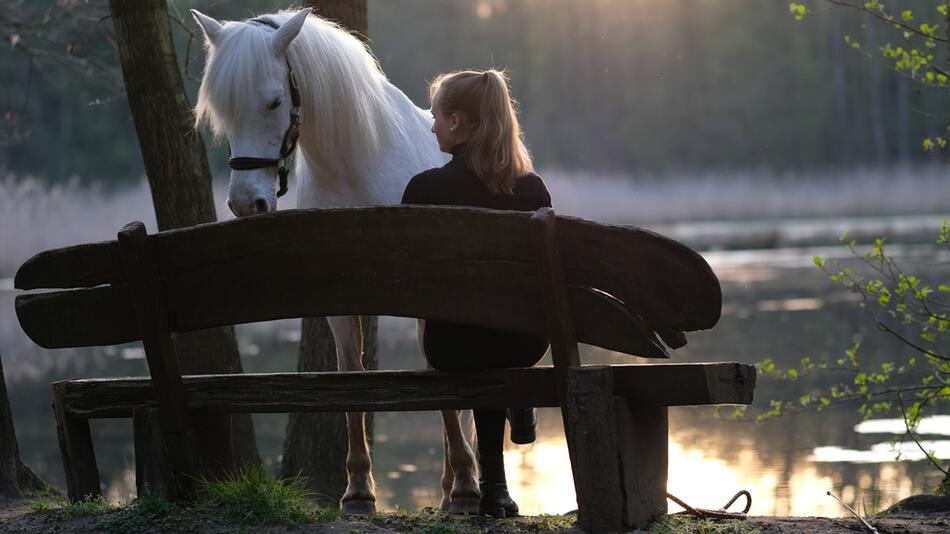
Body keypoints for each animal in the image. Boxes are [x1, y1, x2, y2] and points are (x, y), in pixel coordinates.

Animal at [190, 7, 480, 516]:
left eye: (273, 102)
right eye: (222, 110)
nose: (247, 204)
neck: (355, 167)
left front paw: (464, 483)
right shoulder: (341, 304)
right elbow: (350, 380)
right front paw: (358, 490)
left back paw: (456, 484)